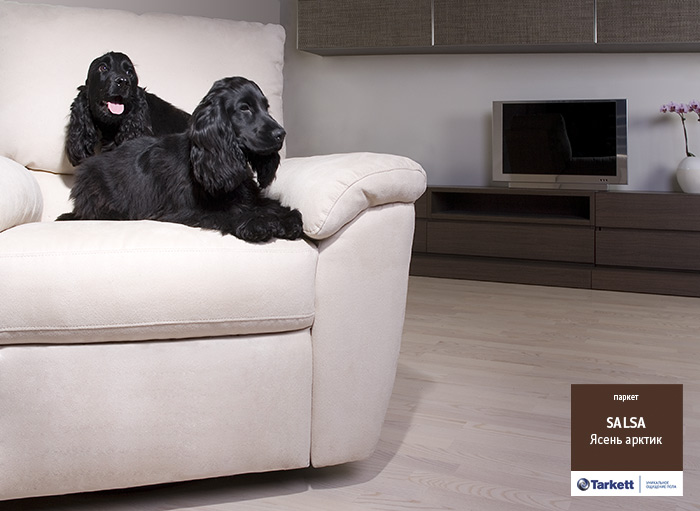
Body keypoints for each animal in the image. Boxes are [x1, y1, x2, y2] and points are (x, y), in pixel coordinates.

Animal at [58, 77, 303, 243]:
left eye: (266, 107)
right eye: (244, 108)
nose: (281, 134)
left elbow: (267, 204)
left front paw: (288, 218)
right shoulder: (187, 209)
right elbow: (229, 212)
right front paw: (259, 222)